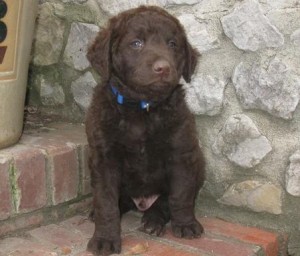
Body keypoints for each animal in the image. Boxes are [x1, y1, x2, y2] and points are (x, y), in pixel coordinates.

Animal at [85, 6, 205, 256]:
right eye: (136, 43)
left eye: (172, 44)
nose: (163, 68)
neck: (142, 108)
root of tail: (140, 203)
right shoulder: (104, 158)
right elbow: (106, 202)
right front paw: (105, 238)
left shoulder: (182, 153)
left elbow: (181, 195)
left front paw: (186, 224)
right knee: (119, 201)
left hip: (199, 163)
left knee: (164, 201)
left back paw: (153, 220)